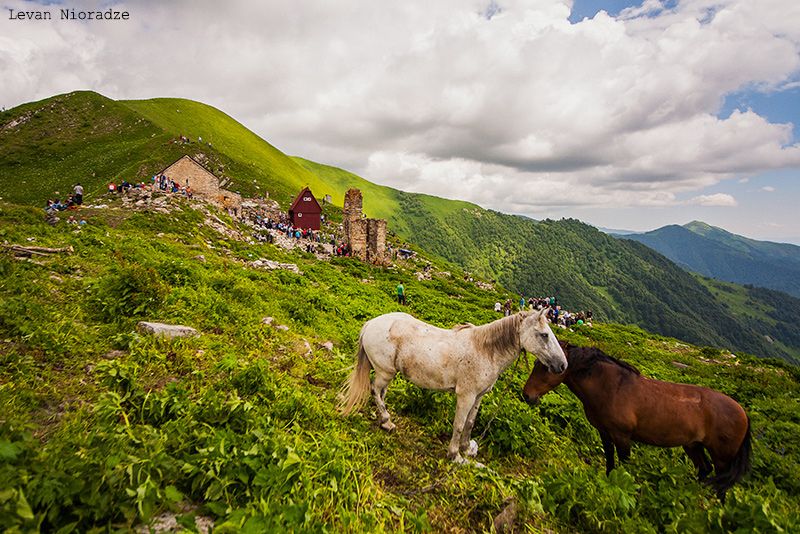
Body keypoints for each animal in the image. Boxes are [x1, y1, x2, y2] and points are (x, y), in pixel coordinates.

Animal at [340, 310, 568, 464]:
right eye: (544, 335)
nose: (562, 365)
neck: (485, 351)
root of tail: (371, 323)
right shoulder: (465, 396)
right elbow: (459, 424)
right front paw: (455, 455)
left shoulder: (478, 397)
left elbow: (470, 423)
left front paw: (467, 449)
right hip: (384, 372)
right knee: (375, 391)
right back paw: (387, 421)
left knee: (381, 393)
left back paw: (385, 420)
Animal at [520, 344, 752, 502]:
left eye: (548, 367)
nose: (527, 395)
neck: (610, 387)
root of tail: (743, 413)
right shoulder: (605, 432)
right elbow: (610, 460)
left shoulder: (623, 437)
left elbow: (624, 464)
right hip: (693, 445)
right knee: (704, 469)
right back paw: (688, 495)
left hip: (722, 456)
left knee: (721, 483)